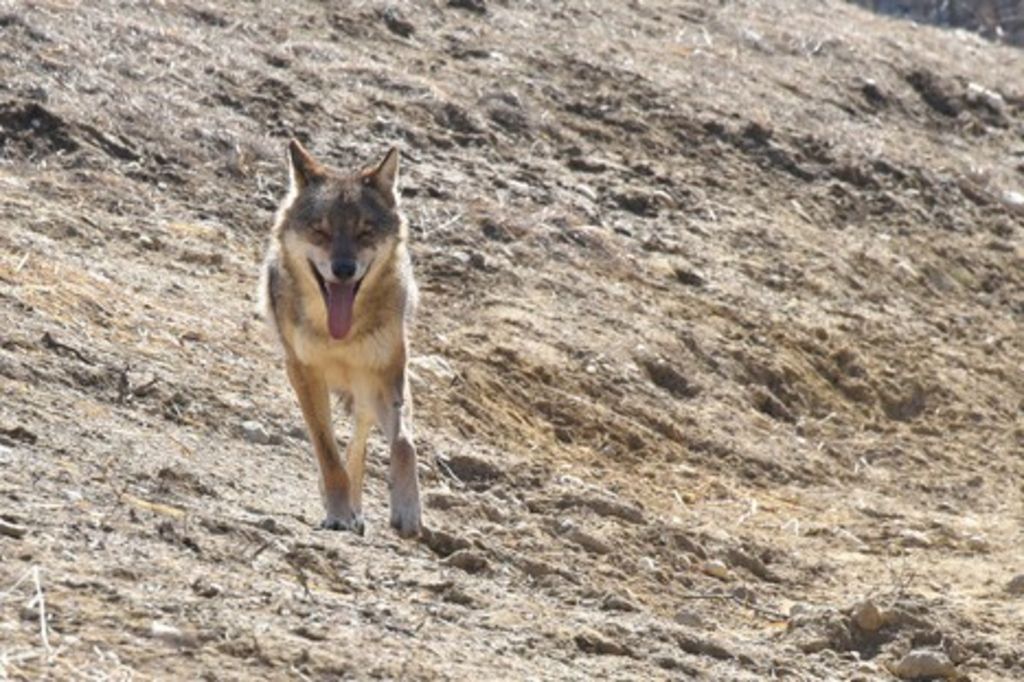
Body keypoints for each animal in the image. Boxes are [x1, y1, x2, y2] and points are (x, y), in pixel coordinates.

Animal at [259, 140, 421, 537]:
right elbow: (327, 451)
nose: (344, 269)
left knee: (359, 443)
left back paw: (359, 509)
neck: (340, 338)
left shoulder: (391, 374)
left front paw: (407, 509)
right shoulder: (303, 373)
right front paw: (337, 512)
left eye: (365, 233)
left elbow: (404, 443)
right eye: (321, 231)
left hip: (365, 392)